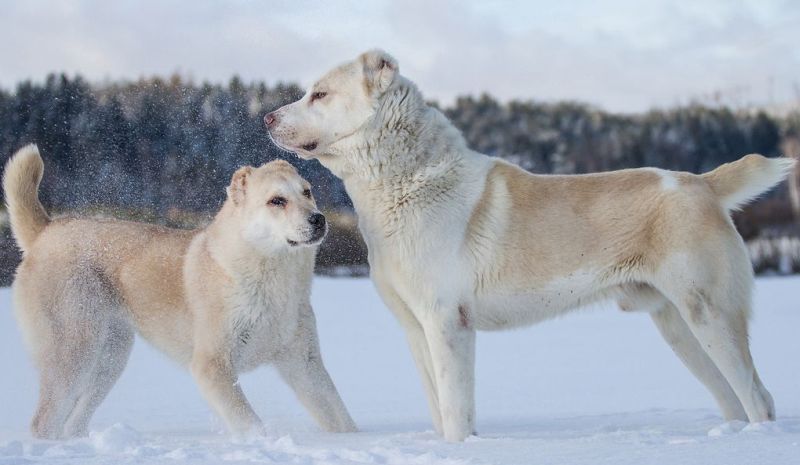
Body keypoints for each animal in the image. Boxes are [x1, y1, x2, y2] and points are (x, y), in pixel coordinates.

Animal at [2, 145, 354, 438]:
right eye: (276, 201)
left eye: (307, 192)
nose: (319, 219)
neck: (273, 278)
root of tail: (45, 232)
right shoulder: (212, 366)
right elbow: (249, 422)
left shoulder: (304, 362)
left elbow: (340, 416)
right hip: (74, 351)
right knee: (44, 422)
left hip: (109, 359)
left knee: (73, 421)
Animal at [268, 50, 792, 442]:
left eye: (319, 93)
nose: (268, 116)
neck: (405, 184)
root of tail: (701, 183)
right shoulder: (416, 330)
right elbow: (440, 410)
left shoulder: (448, 323)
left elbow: (456, 413)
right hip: (679, 328)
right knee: (733, 398)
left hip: (710, 315)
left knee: (759, 397)